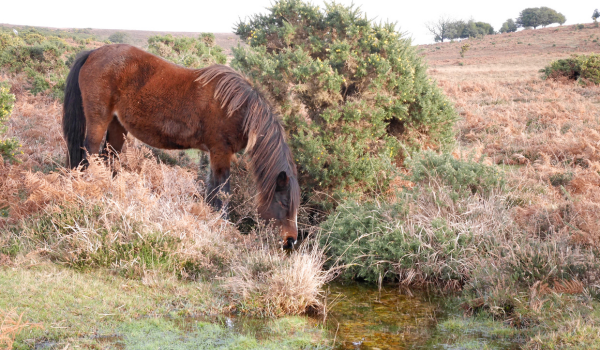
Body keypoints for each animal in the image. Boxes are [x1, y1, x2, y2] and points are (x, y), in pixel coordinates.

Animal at [62, 43, 300, 247]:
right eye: (283, 203)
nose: (291, 241)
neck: (239, 108)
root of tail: (94, 53)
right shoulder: (221, 152)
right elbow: (222, 193)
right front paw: (221, 227)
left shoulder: (215, 154)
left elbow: (212, 190)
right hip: (99, 120)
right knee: (90, 154)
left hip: (117, 124)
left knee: (109, 156)